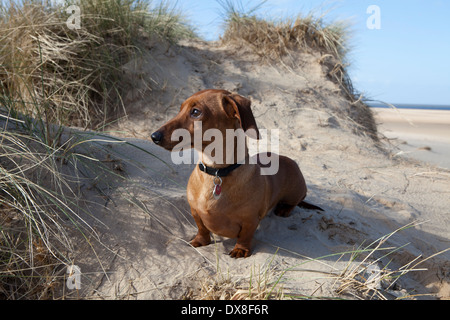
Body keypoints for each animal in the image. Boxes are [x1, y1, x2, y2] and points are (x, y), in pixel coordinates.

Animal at [153, 89, 322, 258]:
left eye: (195, 112)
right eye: (180, 109)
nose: (154, 136)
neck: (217, 173)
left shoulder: (250, 220)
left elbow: (246, 235)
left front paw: (240, 249)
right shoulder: (195, 211)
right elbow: (202, 228)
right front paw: (200, 241)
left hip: (295, 192)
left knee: (296, 201)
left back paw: (284, 209)